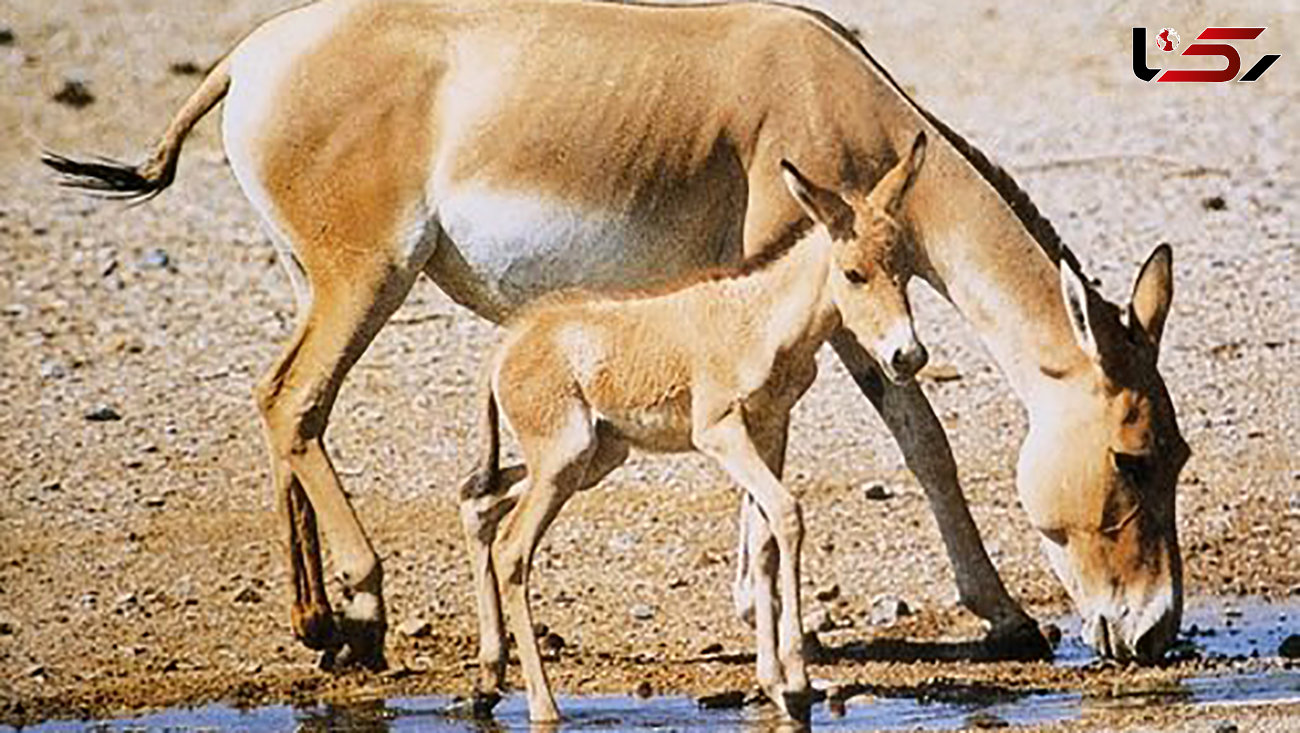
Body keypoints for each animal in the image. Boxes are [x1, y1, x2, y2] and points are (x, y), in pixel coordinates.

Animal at [462, 133, 930, 722]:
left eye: (904, 266)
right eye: (853, 274)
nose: (908, 356)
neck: (761, 321)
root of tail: (509, 344)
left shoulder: (771, 429)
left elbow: (764, 541)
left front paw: (775, 682)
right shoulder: (720, 432)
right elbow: (788, 514)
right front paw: (797, 682)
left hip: (592, 458)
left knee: (478, 501)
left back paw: (488, 680)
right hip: (564, 461)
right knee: (512, 549)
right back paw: (544, 707)